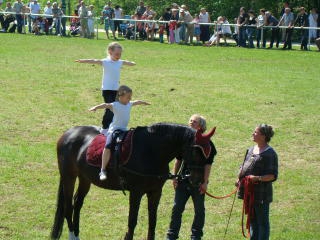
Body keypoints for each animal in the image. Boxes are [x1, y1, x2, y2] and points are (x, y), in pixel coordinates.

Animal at [50, 123, 215, 239]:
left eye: (210, 153)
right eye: (196, 152)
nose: (198, 181)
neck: (151, 151)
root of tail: (68, 133)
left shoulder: (155, 192)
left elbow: (152, 221)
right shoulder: (136, 192)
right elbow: (132, 221)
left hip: (85, 178)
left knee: (77, 204)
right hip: (69, 176)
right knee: (68, 207)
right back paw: (72, 234)